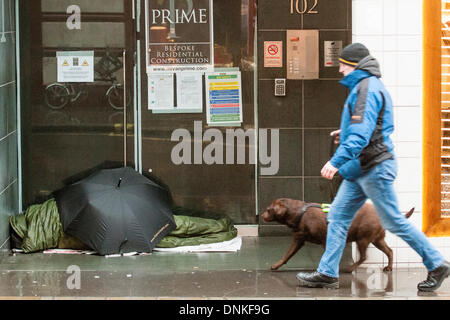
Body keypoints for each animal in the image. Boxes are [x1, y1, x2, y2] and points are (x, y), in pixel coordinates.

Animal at [262, 198, 414, 272]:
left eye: (268, 209)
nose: (262, 215)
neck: (300, 213)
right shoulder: (298, 240)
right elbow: (286, 255)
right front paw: (275, 266)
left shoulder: (325, 240)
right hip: (377, 239)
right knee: (390, 251)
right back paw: (389, 267)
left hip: (363, 238)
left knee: (364, 256)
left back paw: (350, 268)